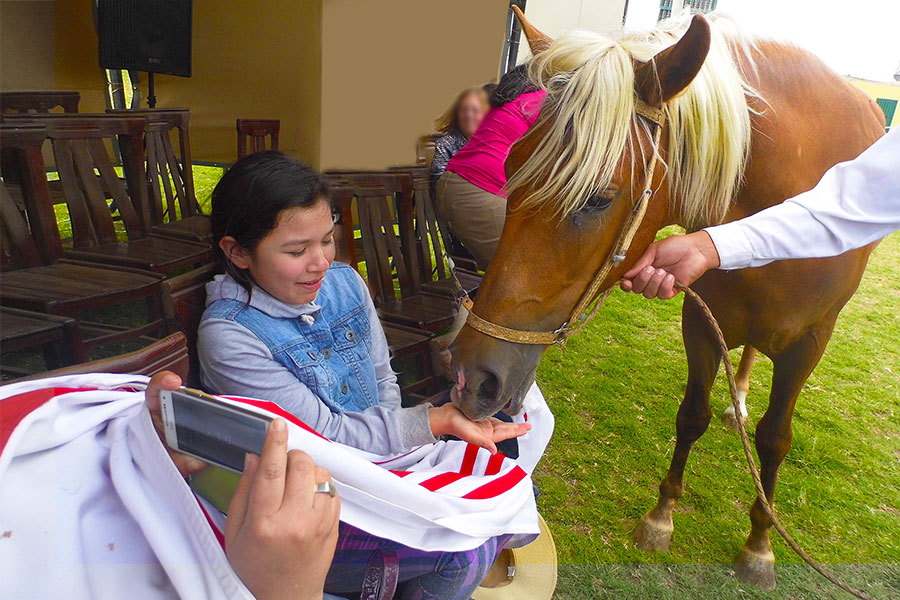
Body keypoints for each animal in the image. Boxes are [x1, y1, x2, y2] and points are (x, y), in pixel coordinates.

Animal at [446, 9, 884, 592]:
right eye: (511, 164)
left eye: (598, 198)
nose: (471, 377)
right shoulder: (700, 321)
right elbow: (692, 415)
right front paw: (661, 517)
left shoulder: (808, 345)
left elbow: (774, 440)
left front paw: (760, 546)